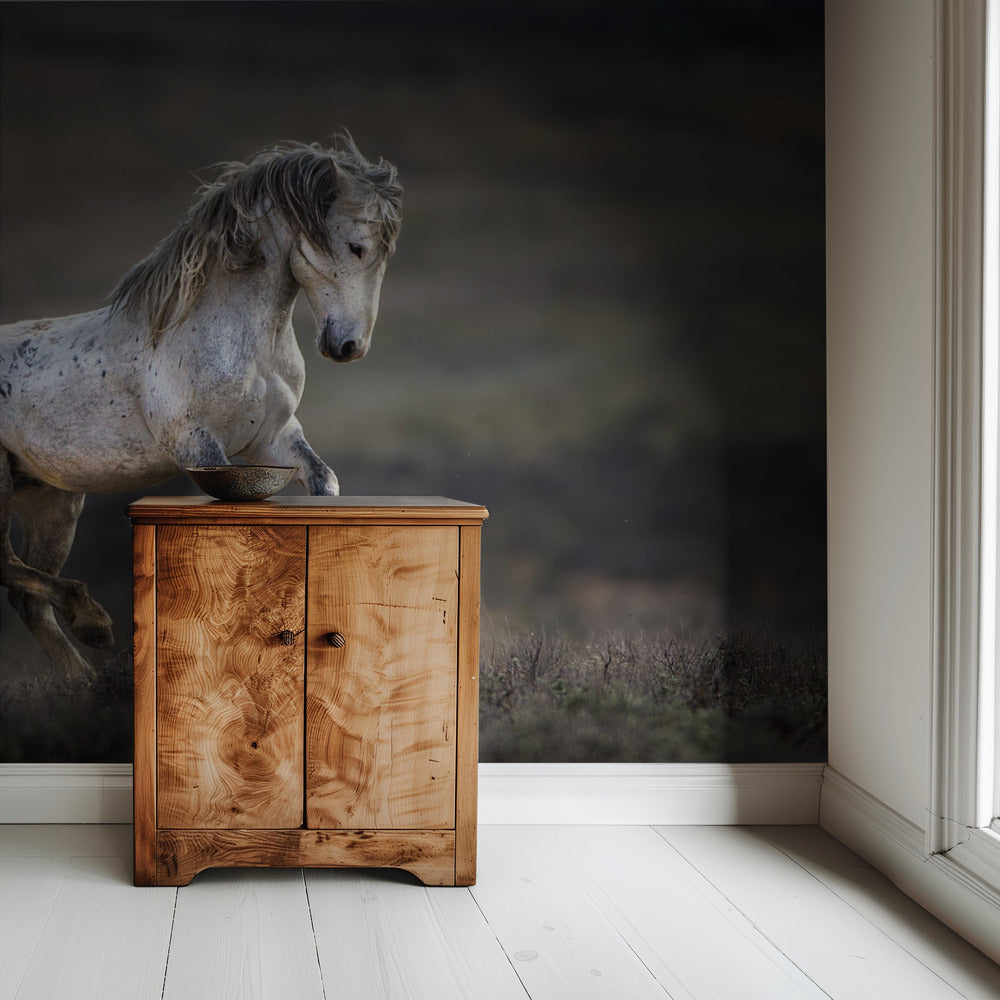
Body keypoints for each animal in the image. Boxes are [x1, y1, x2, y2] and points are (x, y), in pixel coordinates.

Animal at [0, 135, 402, 681]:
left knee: (27, 597)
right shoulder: (197, 444)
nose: (348, 346)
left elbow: (325, 483)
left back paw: (85, 680)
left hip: (50, 500)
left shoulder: (274, 440)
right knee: (8, 568)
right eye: (356, 246)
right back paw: (95, 623)